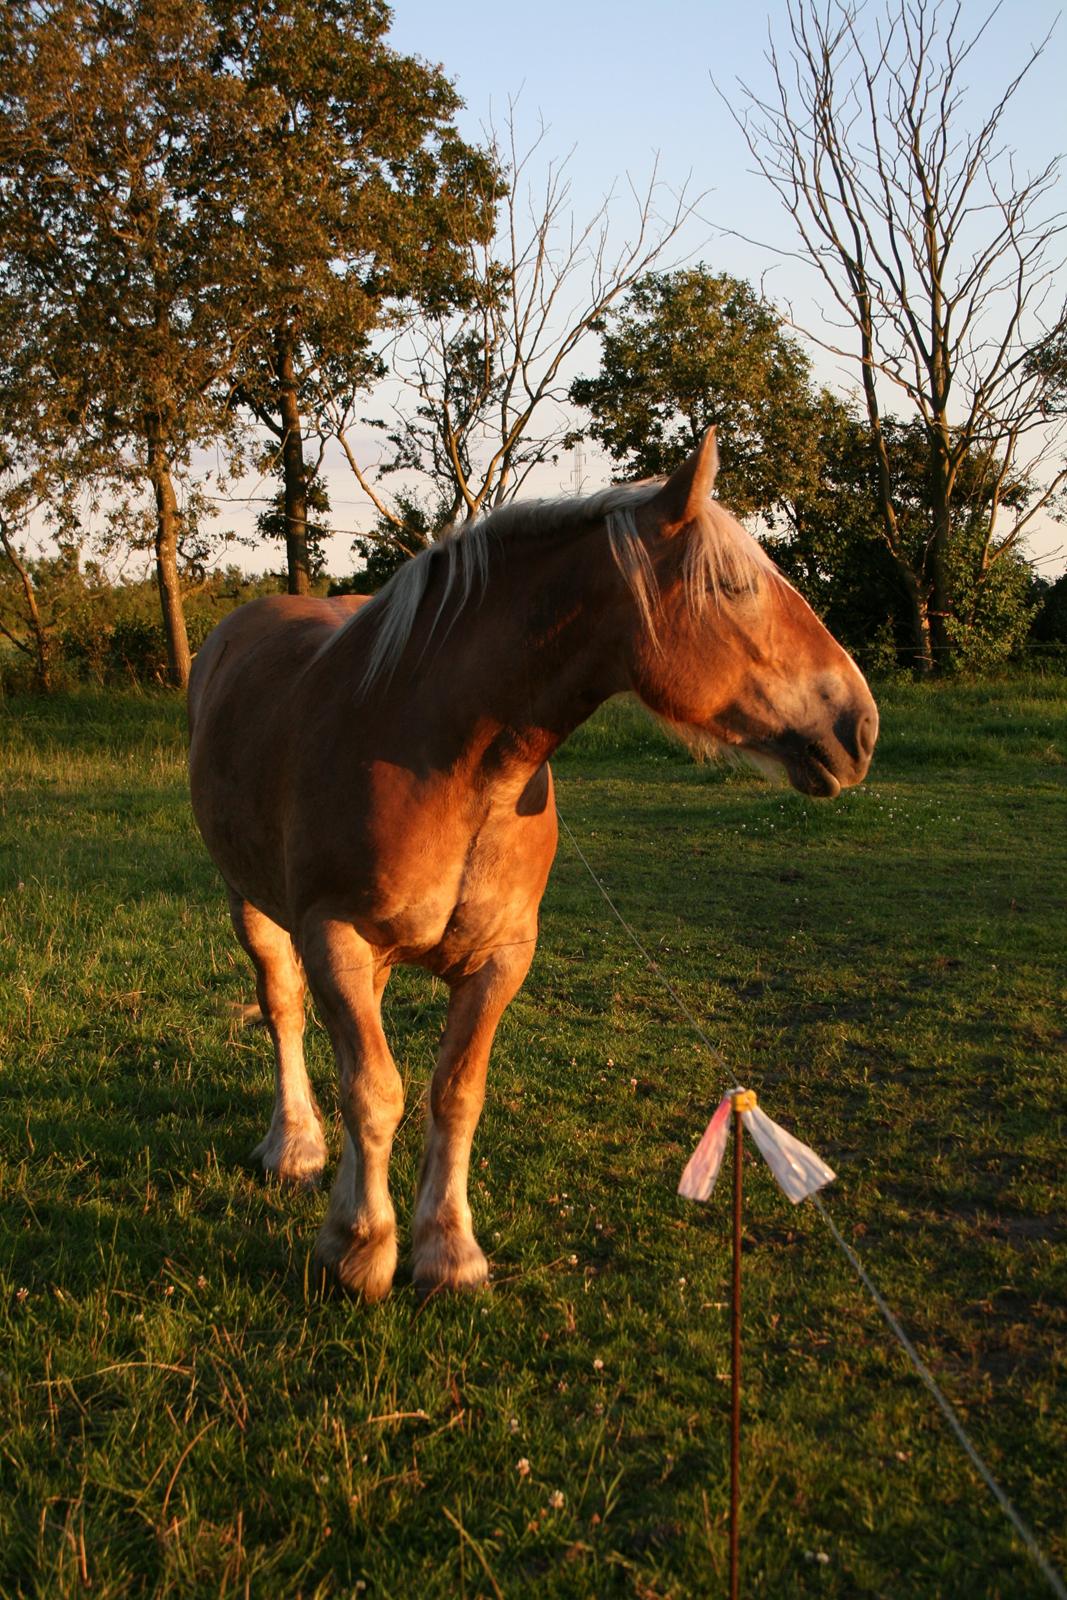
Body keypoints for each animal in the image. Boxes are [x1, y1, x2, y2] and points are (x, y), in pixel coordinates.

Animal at [189, 428, 876, 1299]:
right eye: (733, 585)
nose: (859, 726)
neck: (450, 761)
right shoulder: (333, 937)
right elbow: (372, 1091)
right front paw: (358, 1250)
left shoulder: (500, 958)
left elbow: (452, 1094)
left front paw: (447, 1251)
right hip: (249, 902)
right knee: (282, 1010)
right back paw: (295, 1149)